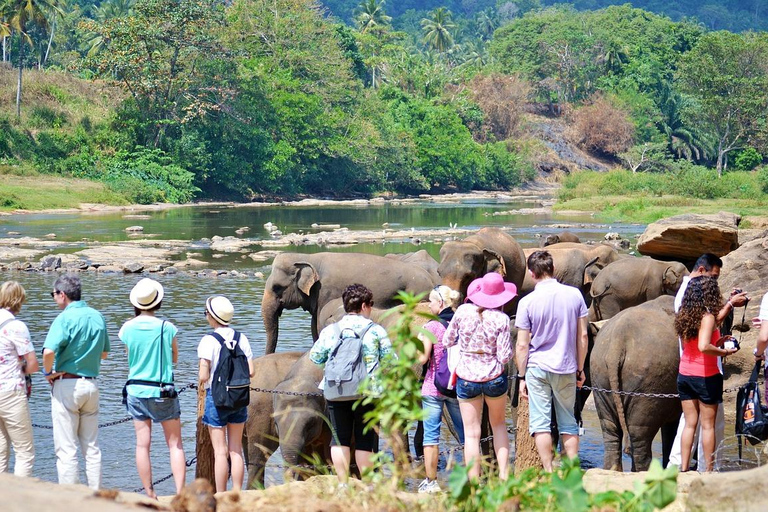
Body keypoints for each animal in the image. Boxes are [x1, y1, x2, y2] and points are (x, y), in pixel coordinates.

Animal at [262, 253, 436, 356]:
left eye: (277, 287)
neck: (308, 258)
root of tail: (431, 279)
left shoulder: (326, 291)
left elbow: (318, 324)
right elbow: (313, 326)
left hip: (417, 292)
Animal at [584, 296, 680, 472]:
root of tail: (617, 344)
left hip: (600, 375)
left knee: (610, 429)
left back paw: (613, 470)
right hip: (648, 384)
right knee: (639, 433)